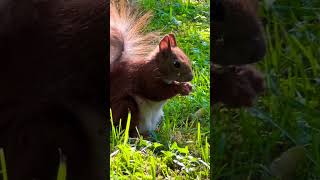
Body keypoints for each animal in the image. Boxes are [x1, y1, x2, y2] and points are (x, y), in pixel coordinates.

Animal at [110, 0, 192, 135]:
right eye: (176, 64)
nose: (191, 77)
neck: (157, 67)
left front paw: (188, 87)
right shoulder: (146, 77)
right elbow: (157, 92)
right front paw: (180, 87)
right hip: (126, 107)